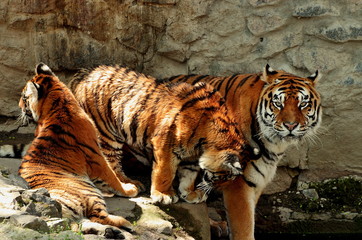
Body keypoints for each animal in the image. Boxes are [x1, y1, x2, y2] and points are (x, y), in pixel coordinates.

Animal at [66, 65, 258, 204]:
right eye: (224, 176)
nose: (216, 190)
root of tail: (83, 74)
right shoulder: (166, 145)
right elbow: (165, 173)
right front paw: (164, 195)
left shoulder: (192, 158)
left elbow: (188, 176)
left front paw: (190, 193)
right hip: (106, 134)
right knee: (110, 163)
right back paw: (128, 185)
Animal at [167, 64, 322, 240]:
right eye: (278, 104)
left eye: (303, 104)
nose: (290, 125)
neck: (273, 143)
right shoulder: (238, 182)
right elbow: (244, 224)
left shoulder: (258, 178)